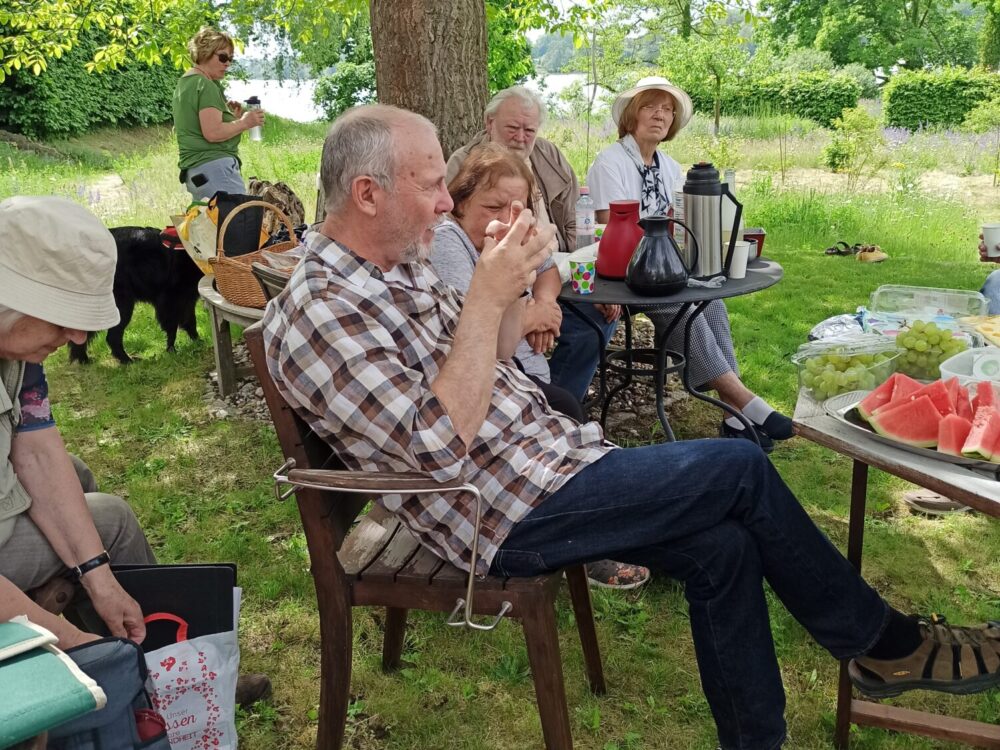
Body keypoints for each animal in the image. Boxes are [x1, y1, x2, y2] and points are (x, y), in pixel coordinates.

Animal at [69, 228, 204, 366]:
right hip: (123, 304)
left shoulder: (188, 298)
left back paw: (82, 358)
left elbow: (190, 322)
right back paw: (127, 360)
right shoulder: (170, 299)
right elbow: (172, 328)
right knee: (112, 337)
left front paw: (198, 342)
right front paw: (172, 351)